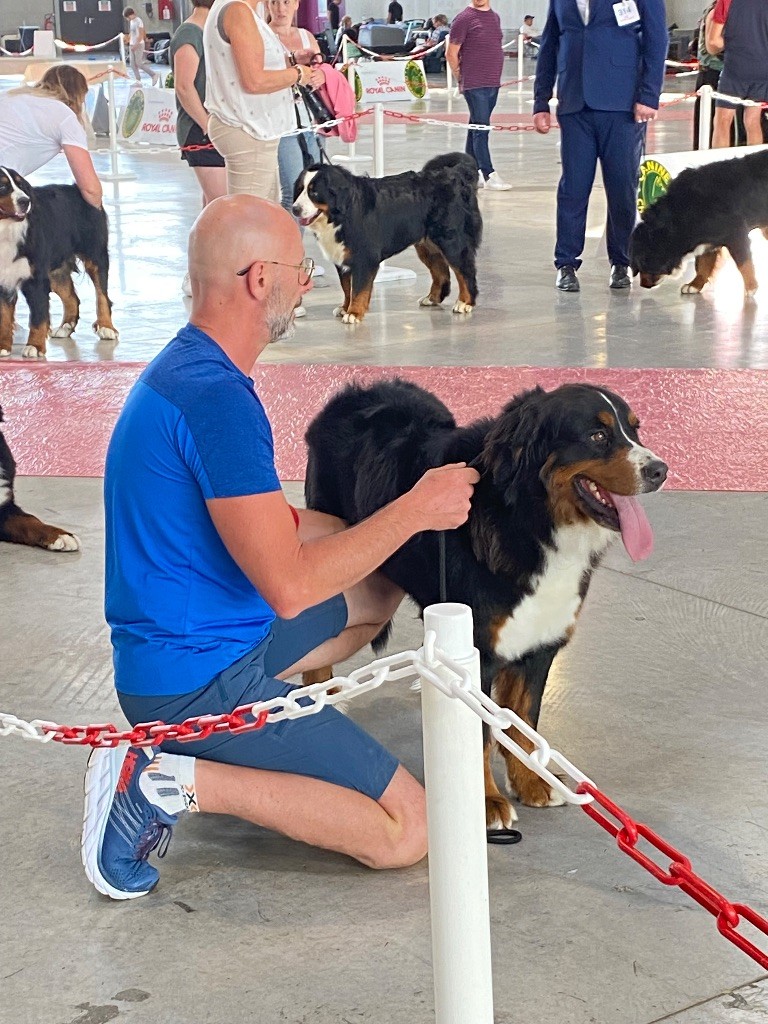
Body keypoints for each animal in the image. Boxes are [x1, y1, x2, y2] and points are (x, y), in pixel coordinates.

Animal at [0, 167, 118, 359]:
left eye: (20, 185)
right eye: (3, 186)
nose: (25, 201)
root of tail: (76, 189)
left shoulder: (35, 279)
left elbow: (38, 316)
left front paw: (35, 346)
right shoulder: (4, 279)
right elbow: (4, 316)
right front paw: (3, 347)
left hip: (95, 256)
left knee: (102, 295)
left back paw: (106, 327)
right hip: (55, 270)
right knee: (72, 298)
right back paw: (65, 327)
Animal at [292, 153, 482, 324]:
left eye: (314, 192)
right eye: (300, 189)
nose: (295, 209)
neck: (342, 213)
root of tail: (456, 174)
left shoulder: (364, 257)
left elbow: (358, 289)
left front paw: (354, 313)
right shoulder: (342, 257)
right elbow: (347, 288)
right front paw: (345, 307)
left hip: (451, 241)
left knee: (465, 272)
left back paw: (465, 302)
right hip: (427, 246)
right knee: (441, 271)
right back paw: (432, 298)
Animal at [305, 380, 667, 829]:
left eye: (635, 430)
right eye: (597, 436)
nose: (660, 471)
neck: (532, 521)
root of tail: (356, 391)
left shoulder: (539, 643)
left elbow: (522, 724)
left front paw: (532, 784)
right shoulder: (481, 652)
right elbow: (477, 736)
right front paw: (488, 802)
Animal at [630, 150, 768, 297]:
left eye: (642, 261)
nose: (643, 285)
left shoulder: (735, 234)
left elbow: (743, 263)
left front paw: (751, 287)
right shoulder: (707, 240)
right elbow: (703, 264)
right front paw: (694, 285)